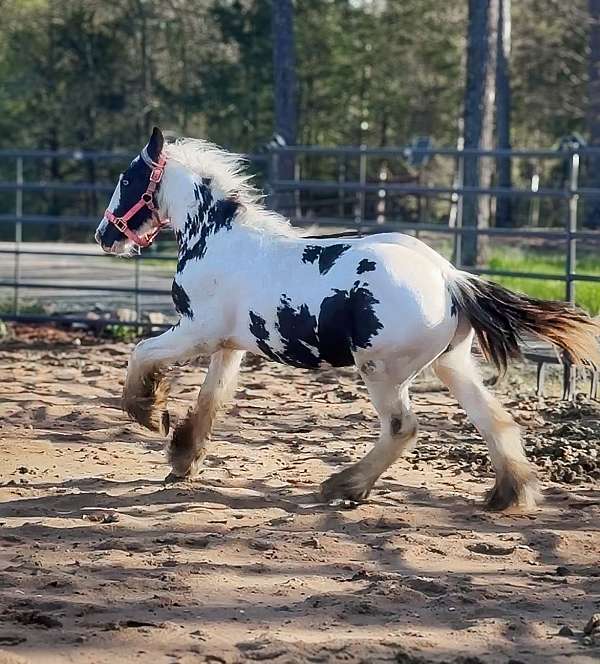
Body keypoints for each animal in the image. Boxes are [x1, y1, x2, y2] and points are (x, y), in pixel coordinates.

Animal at [94, 127, 600, 510]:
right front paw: (182, 459)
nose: (102, 235)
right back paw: (509, 495)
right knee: (494, 420)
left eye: (128, 178)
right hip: (451, 363)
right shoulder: (229, 345)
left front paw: (149, 413)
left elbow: (142, 353)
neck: (215, 238)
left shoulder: (198, 331)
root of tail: (450, 277)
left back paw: (343, 486)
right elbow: (210, 400)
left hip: (382, 369)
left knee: (402, 428)